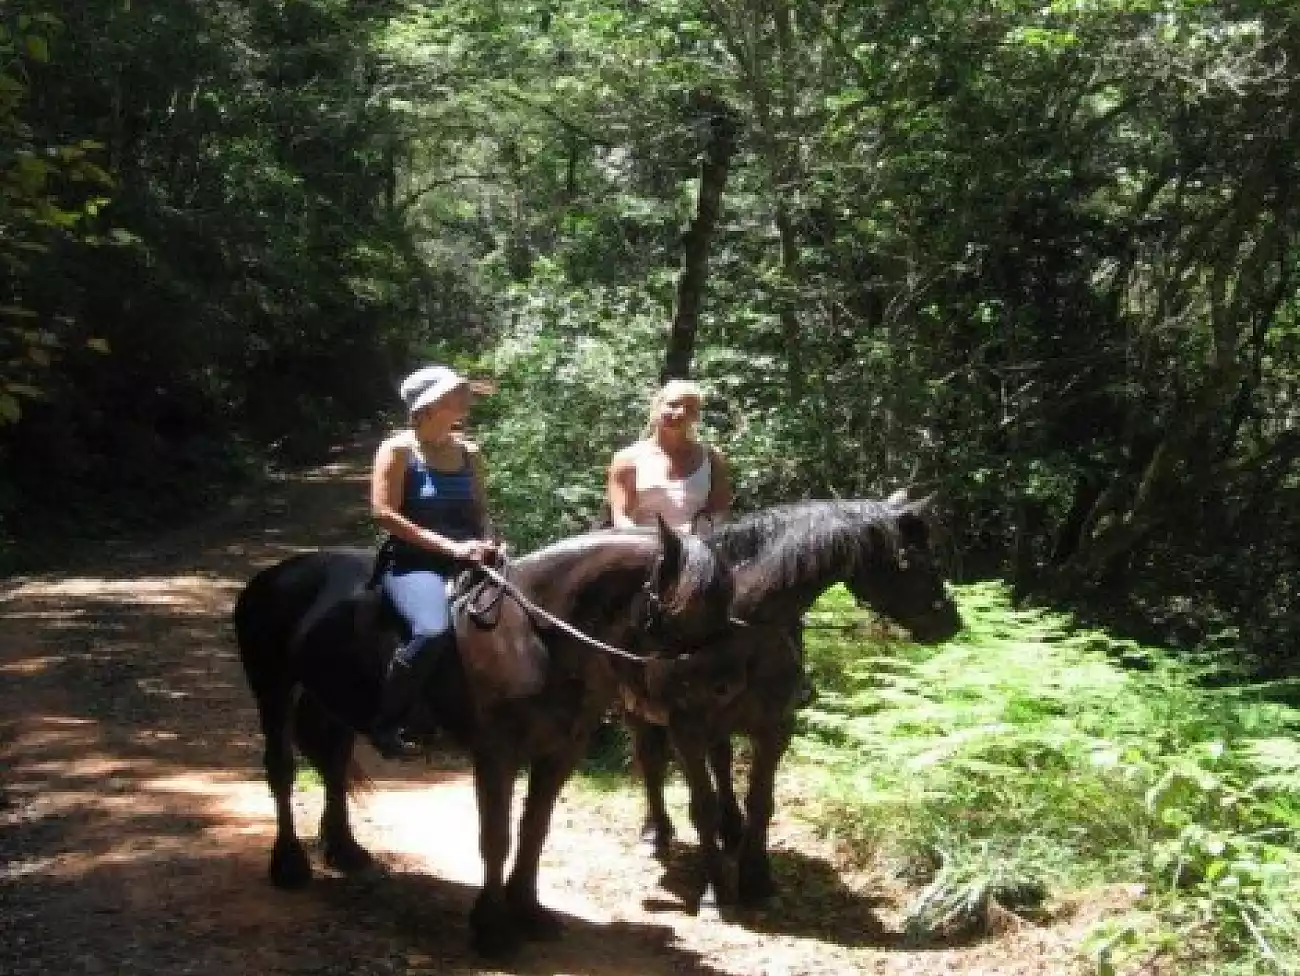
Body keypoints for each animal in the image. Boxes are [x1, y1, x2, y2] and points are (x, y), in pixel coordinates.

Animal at [233, 517, 739, 956]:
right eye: (687, 607)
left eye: (727, 605)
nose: (724, 687)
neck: (538, 635)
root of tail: (270, 576)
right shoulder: (497, 754)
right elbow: (496, 835)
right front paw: (492, 928)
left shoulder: (560, 752)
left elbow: (535, 829)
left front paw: (529, 912)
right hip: (272, 686)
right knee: (281, 771)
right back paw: (289, 865)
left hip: (333, 701)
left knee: (334, 765)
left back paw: (345, 850)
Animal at [623, 497, 963, 909]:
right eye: (914, 561)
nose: (952, 623)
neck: (737, 630)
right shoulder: (686, 732)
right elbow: (700, 807)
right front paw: (717, 891)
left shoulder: (776, 728)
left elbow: (761, 801)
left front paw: (756, 880)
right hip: (636, 712)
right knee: (651, 763)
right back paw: (656, 832)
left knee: (721, 761)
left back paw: (731, 829)